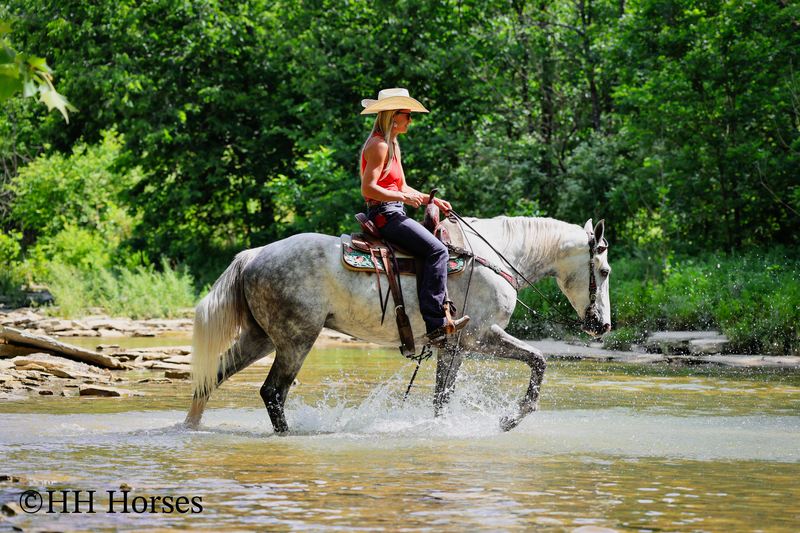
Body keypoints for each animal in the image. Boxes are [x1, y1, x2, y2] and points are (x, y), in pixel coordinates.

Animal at [185, 216, 612, 433]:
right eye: (604, 271)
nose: (603, 326)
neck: (498, 256)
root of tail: (254, 254)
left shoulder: (453, 347)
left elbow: (442, 398)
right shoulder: (481, 337)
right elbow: (539, 359)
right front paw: (511, 418)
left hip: (261, 338)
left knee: (213, 375)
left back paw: (189, 426)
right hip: (295, 340)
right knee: (273, 392)